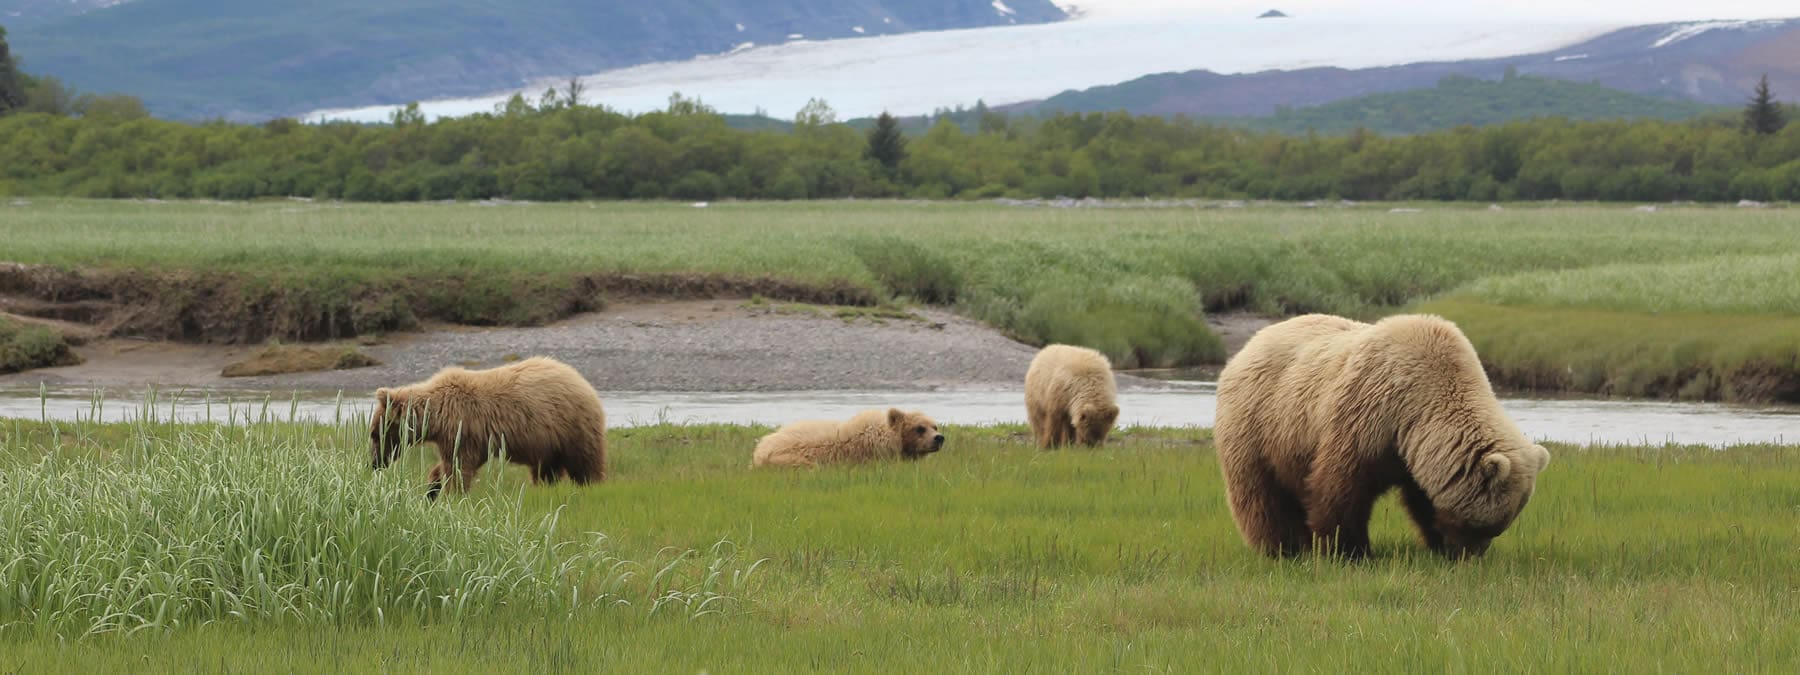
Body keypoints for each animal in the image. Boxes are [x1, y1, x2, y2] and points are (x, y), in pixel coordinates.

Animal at [370, 356, 607, 499]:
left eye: (374, 434)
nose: (374, 463)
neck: (436, 415)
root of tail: (582, 380)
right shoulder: (465, 438)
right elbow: (447, 466)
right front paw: (432, 491)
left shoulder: (462, 429)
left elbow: (458, 467)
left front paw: (453, 495)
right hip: (549, 442)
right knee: (546, 470)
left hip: (572, 426)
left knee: (584, 463)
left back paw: (592, 485)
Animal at [1213, 313, 1550, 559]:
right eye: (1482, 526)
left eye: (1499, 527)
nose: (1469, 555)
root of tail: (1248, 345)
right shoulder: (1368, 416)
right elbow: (1340, 487)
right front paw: (1349, 550)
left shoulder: (1414, 451)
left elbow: (1421, 497)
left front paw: (1436, 543)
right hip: (1259, 423)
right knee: (1262, 494)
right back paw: (1283, 547)